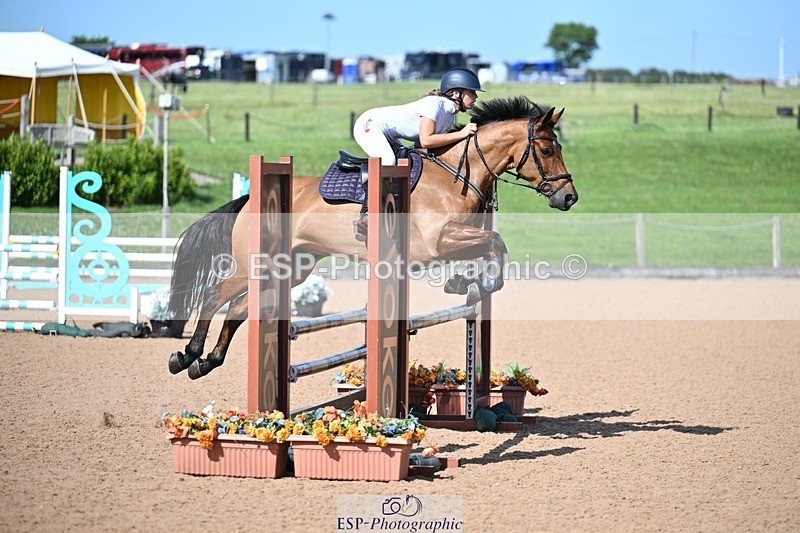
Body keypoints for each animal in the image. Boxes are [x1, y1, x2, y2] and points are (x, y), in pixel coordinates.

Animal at [167, 96, 578, 379]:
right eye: (546, 149)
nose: (569, 197)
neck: (455, 175)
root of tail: (250, 197)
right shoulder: (437, 243)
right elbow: (496, 245)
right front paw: (484, 282)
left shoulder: (455, 238)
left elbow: (489, 247)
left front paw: (465, 282)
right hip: (255, 263)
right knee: (214, 296)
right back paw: (187, 353)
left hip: (291, 268)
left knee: (238, 308)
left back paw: (206, 361)